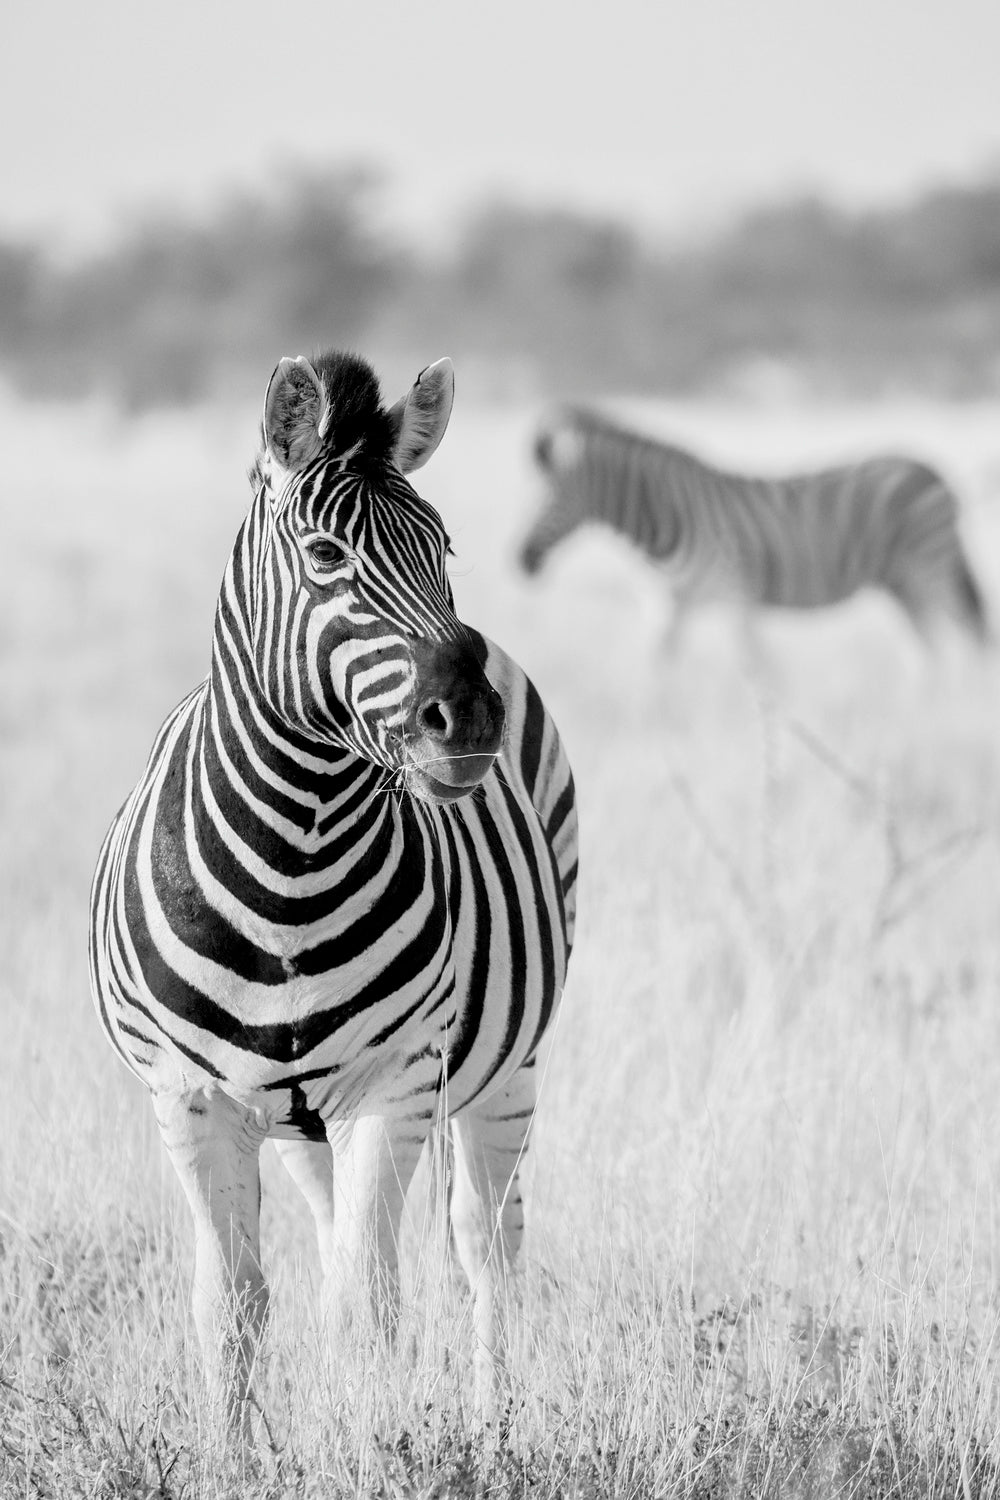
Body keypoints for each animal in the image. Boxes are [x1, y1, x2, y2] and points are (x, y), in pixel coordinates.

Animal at [89, 349, 577, 1429]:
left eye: (443, 546)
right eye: (323, 555)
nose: (468, 719)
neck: (291, 860)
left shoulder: (391, 1086)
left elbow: (368, 1308)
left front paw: (373, 1445)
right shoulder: (191, 1099)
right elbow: (229, 1310)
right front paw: (236, 1455)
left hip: (506, 1066)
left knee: (487, 1249)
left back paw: (495, 1431)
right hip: (300, 1120)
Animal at [519, 406, 990, 649]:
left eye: (547, 498)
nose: (520, 561)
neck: (668, 516)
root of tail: (931, 470)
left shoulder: (737, 598)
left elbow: (761, 673)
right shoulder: (670, 606)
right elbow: (658, 674)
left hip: (931, 565)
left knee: (971, 634)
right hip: (902, 583)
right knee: (929, 649)